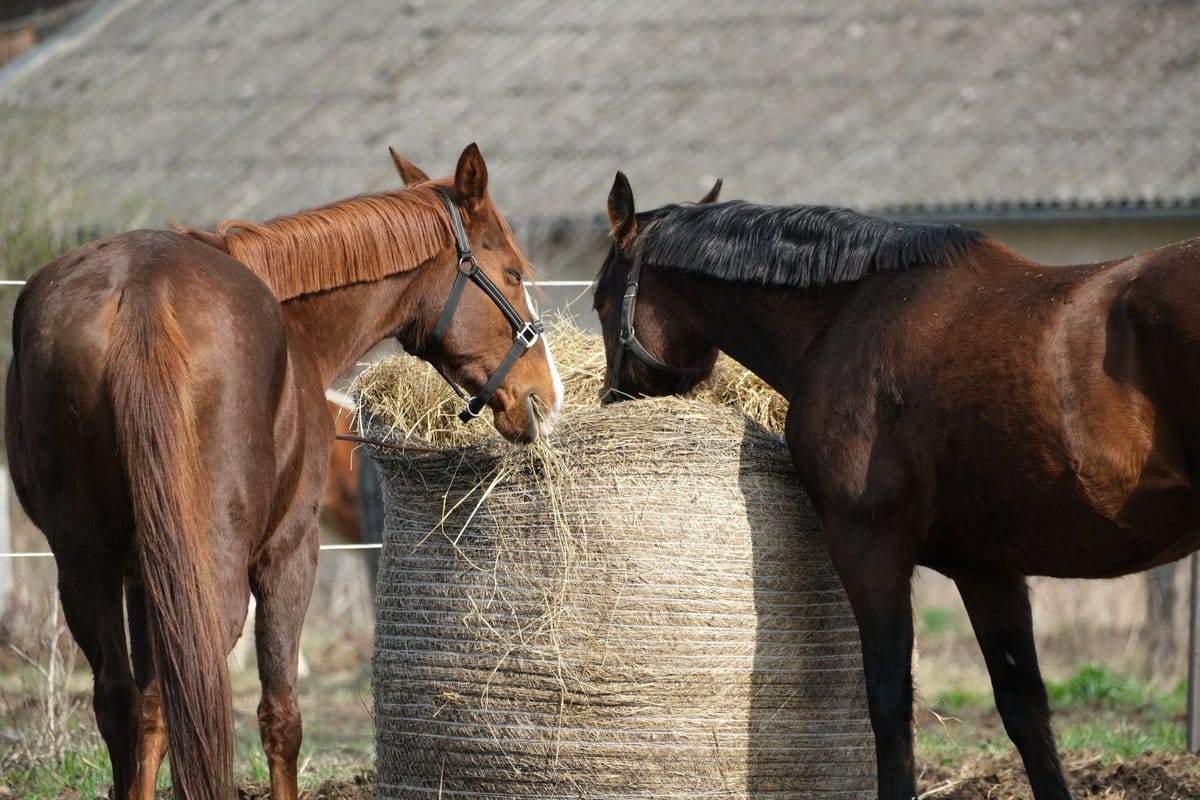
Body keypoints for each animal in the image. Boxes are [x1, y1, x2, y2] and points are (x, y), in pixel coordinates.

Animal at [4, 143, 562, 800]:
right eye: (513, 273)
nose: (545, 394)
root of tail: (140, 296)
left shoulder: (142, 573)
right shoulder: (290, 551)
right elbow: (281, 716)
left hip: (86, 564)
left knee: (125, 703)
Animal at [591, 171, 1200, 800]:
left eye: (599, 301)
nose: (611, 398)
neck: (847, 317)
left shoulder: (869, 548)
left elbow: (888, 701)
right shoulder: (987, 568)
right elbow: (1025, 711)